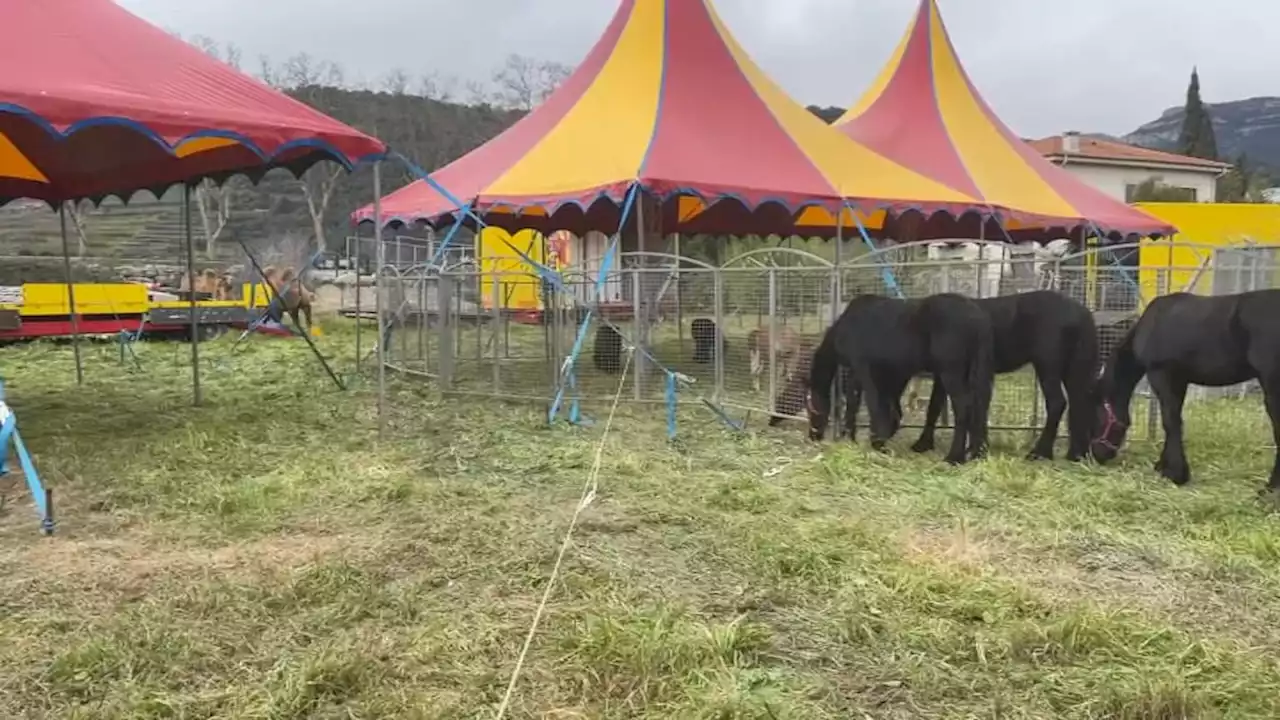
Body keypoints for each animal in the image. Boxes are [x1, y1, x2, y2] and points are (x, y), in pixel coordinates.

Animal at [803, 293, 993, 466]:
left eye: (810, 406)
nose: (813, 436)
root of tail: (978, 320)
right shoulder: (890, 373)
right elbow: (865, 404)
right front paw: (853, 437)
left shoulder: (863, 368)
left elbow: (873, 404)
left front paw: (877, 442)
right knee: (980, 406)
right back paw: (976, 453)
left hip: (951, 372)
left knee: (964, 407)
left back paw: (954, 457)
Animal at [911, 286, 1100, 458]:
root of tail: (1082, 311)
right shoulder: (945, 375)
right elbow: (935, 405)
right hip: (1073, 369)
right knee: (1079, 403)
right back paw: (1076, 454)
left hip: (1048, 366)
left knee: (1057, 403)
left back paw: (1040, 453)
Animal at [1095, 288, 1280, 489]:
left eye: (1095, 416)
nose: (1096, 455)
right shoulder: (1179, 380)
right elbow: (1174, 420)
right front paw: (1163, 466)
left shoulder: (1161, 374)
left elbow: (1170, 422)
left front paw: (1175, 473)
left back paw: (1271, 488)